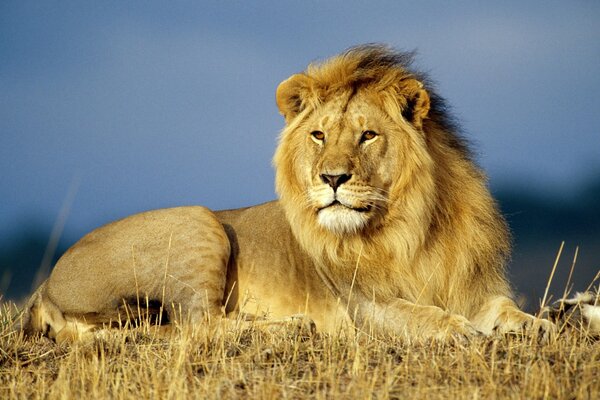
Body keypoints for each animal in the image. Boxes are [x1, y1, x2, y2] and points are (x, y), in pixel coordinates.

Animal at [19, 45, 552, 342]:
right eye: (318, 135)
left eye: (368, 136)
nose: (332, 178)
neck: (411, 226)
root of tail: (44, 286)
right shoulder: (364, 307)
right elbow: (420, 315)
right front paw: (459, 330)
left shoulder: (472, 285)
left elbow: (503, 309)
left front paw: (537, 324)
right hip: (198, 220)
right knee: (197, 326)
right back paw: (291, 327)